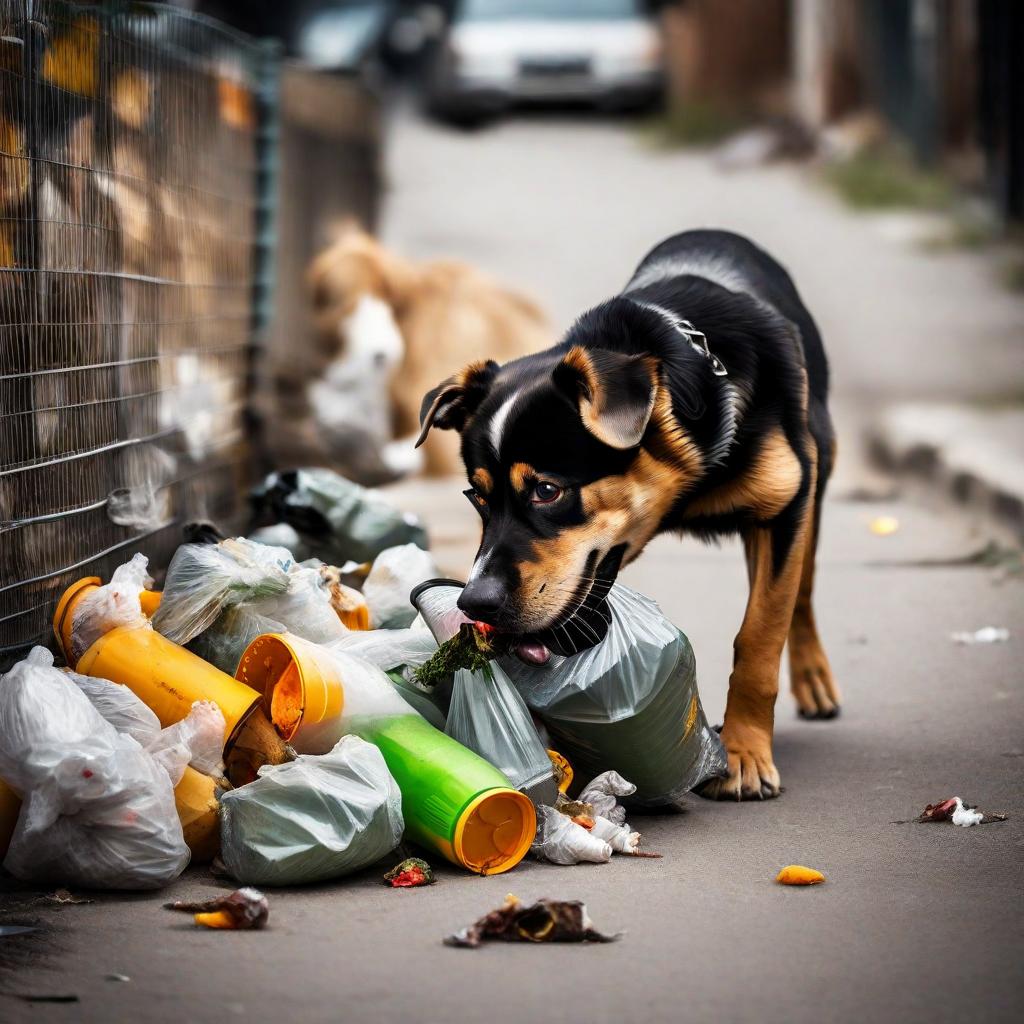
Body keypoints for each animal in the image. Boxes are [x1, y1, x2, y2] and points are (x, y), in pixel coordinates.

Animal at [415, 230, 839, 798]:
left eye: (547, 491)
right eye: (475, 496)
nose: (474, 602)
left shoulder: (785, 505)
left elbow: (760, 637)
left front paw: (745, 754)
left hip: (816, 475)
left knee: (804, 586)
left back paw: (813, 679)